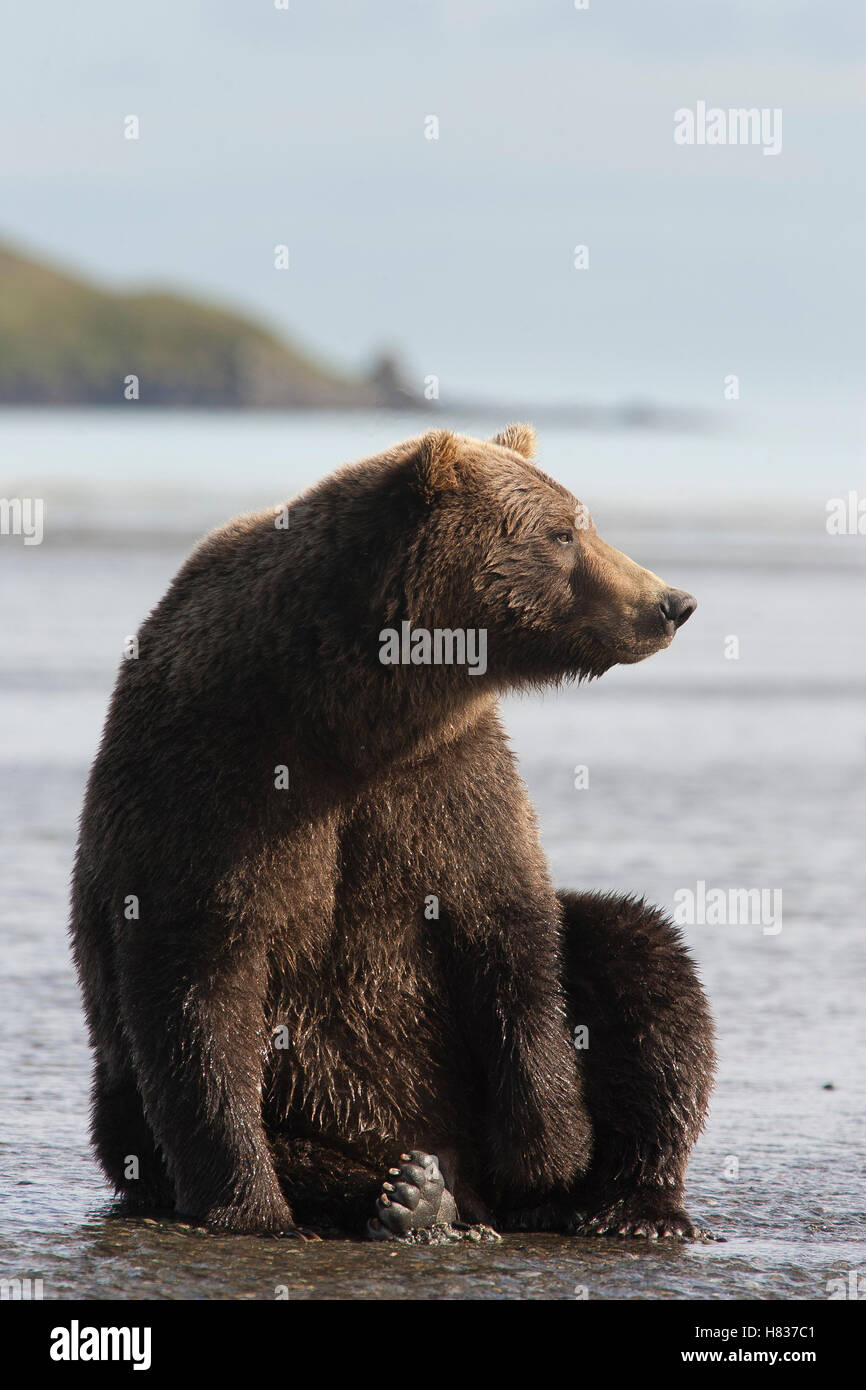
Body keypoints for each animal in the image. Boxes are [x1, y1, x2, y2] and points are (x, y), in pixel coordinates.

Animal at [70, 424, 715, 1241]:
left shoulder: (448, 778)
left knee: (643, 957)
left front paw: (554, 1145)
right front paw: (252, 1206)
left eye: (585, 522)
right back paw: (409, 1194)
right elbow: (201, 985)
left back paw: (629, 1204)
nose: (672, 602)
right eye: (563, 533)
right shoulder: (213, 777)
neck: (355, 716)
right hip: (160, 1094)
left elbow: (512, 934)